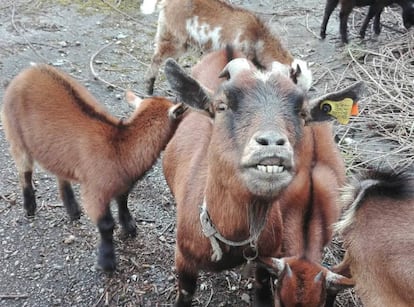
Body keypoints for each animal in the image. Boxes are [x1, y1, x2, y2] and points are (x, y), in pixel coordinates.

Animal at [141, 0, 312, 95]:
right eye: (295, 80)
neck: (258, 37)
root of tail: (167, 3)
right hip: (173, 38)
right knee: (157, 58)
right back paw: (149, 88)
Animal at [162, 46, 362, 306]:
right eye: (221, 105)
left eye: (302, 113)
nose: (272, 145)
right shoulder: (183, 259)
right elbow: (185, 293)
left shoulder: (266, 261)